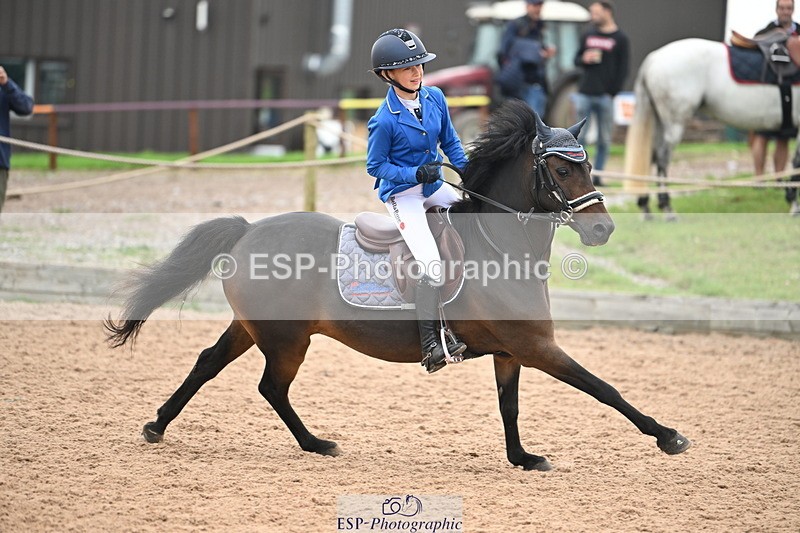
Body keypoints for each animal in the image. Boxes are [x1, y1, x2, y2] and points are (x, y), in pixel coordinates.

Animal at [105, 100, 691, 471]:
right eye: (563, 172)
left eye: (589, 167)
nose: (603, 230)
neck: (501, 247)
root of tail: (249, 229)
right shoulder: (537, 346)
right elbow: (604, 388)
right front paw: (669, 437)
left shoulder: (513, 351)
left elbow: (510, 406)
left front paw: (522, 459)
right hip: (287, 338)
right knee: (271, 387)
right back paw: (317, 444)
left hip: (254, 329)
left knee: (209, 363)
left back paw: (158, 425)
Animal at [623, 37, 800, 217]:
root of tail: (653, 58)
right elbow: (797, 162)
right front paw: (793, 203)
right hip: (674, 123)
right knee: (662, 158)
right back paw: (667, 207)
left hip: (659, 121)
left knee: (650, 156)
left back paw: (645, 205)